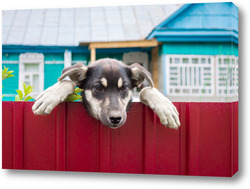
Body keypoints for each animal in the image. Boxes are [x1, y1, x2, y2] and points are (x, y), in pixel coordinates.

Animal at [32, 58, 181, 129]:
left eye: (124, 87)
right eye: (98, 87)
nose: (115, 119)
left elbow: (146, 89)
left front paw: (166, 108)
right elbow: (68, 82)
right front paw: (49, 96)